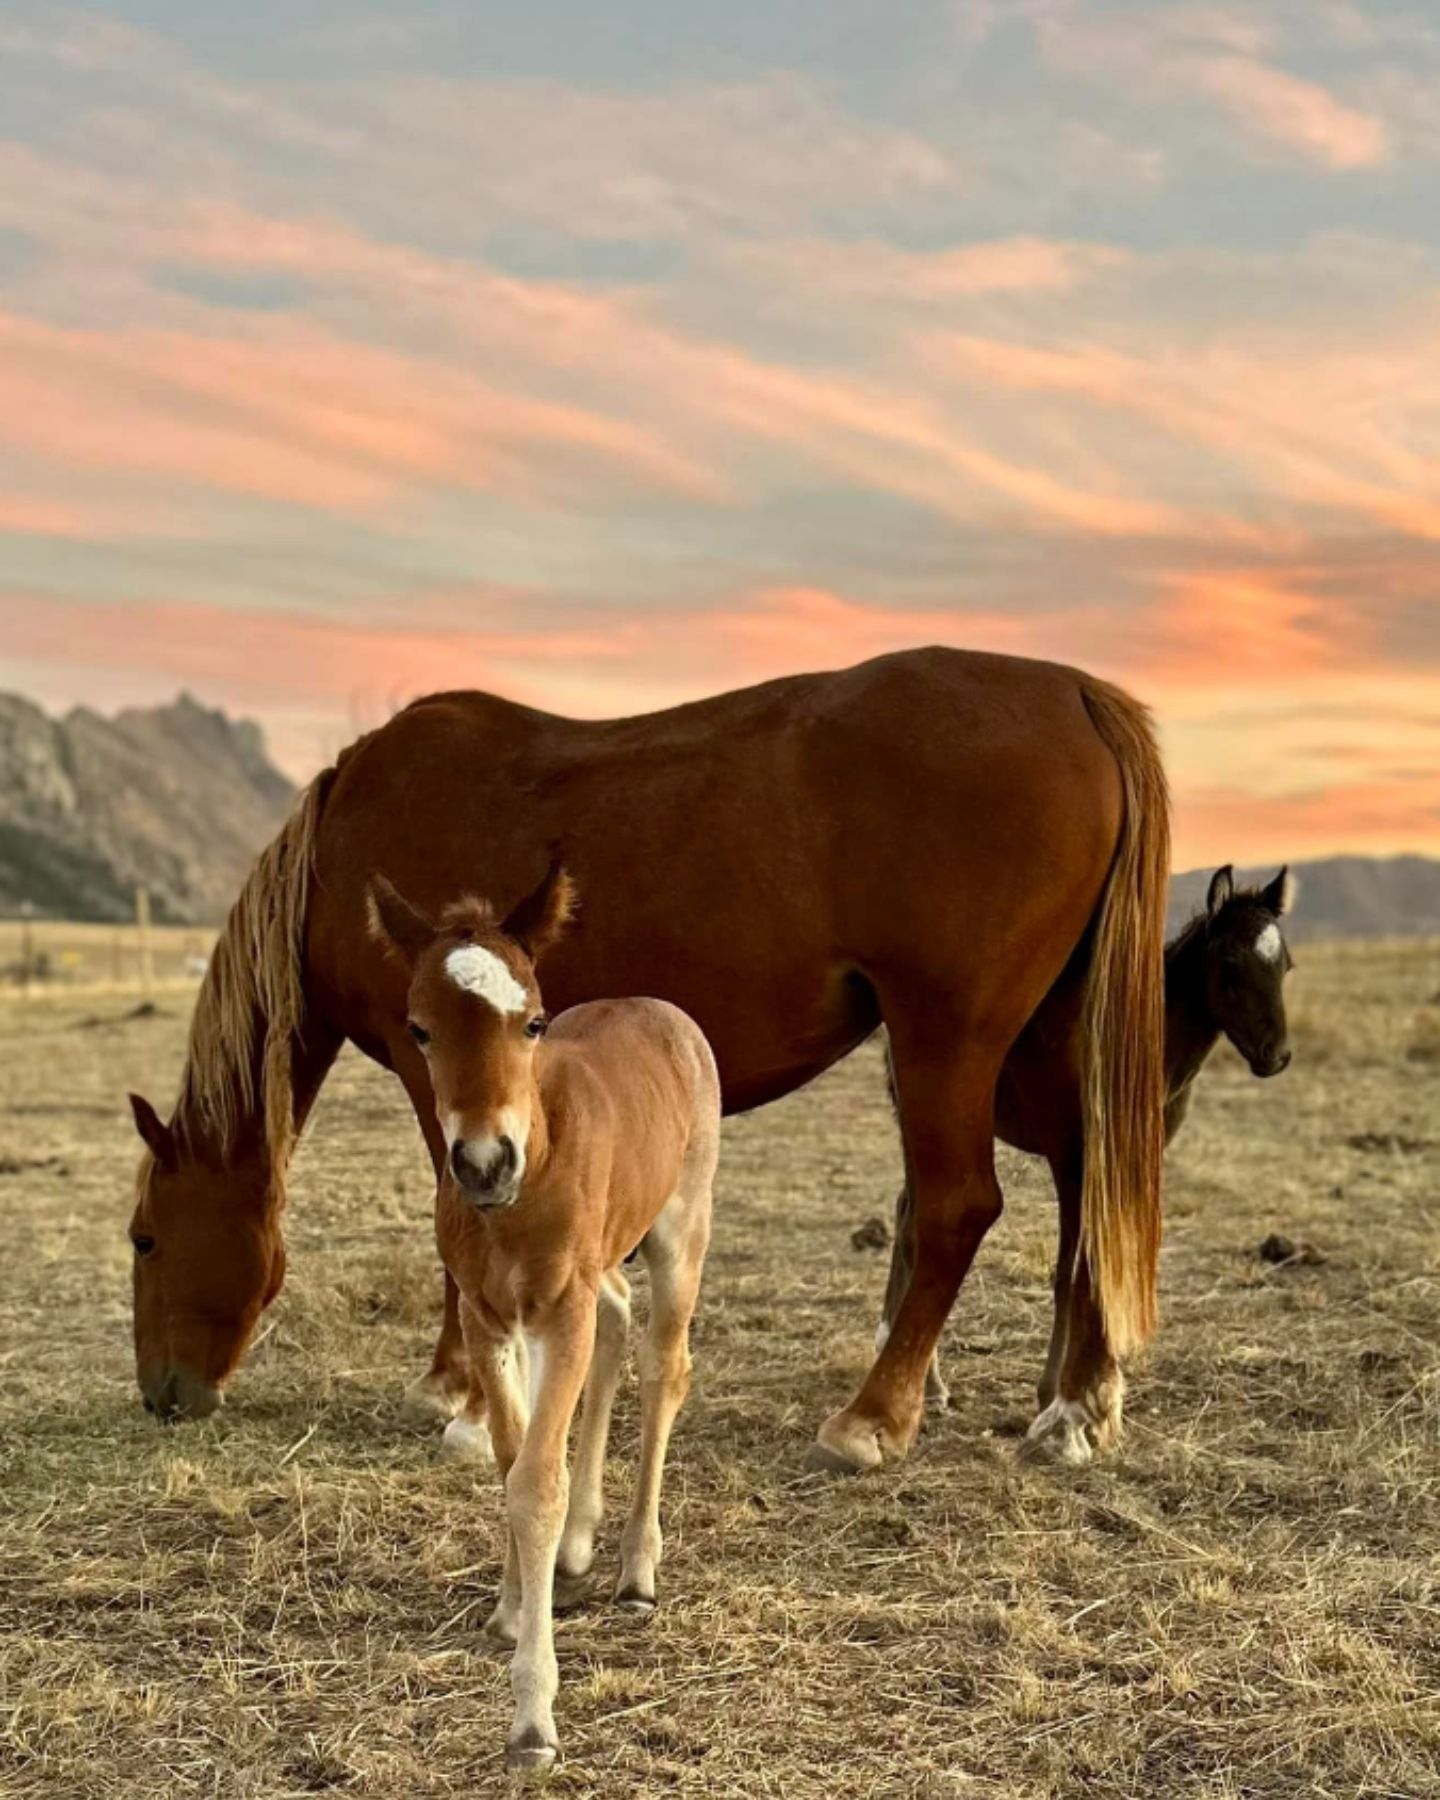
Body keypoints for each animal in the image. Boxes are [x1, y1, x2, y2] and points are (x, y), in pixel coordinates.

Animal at [126, 651, 1166, 1476]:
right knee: (1084, 1187)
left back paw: (874, 1418)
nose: (160, 1395)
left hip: (947, 1036)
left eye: (143, 1239)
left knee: (959, 1208)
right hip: (1043, 1037)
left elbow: (457, 1219)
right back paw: (1075, 1405)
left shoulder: (442, 1078)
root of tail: (1073, 692)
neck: (343, 854)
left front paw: (458, 1393)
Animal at [363, 864, 716, 1778]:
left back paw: (635, 1571)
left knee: (665, 1364)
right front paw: (517, 1604)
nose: (484, 1164)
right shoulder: (490, 1315)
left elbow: (537, 1481)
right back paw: (581, 1545)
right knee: (619, 1325)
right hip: (597, 1272)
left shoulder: (559, 1309)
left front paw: (533, 1718)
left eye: (533, 1022)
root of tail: (661, 1009)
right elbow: (510, 1457)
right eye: (418, 1029)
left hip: (680, 1227)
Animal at [878, 856, 1296, 1461]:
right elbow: (1071, 1272)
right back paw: (923, 1384)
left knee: (908, 1211)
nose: (1276, 1056)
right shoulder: (1072, 1158)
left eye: (1284, 963)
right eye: (1231, 961)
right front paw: (1057, 1396)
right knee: (913, 1224)